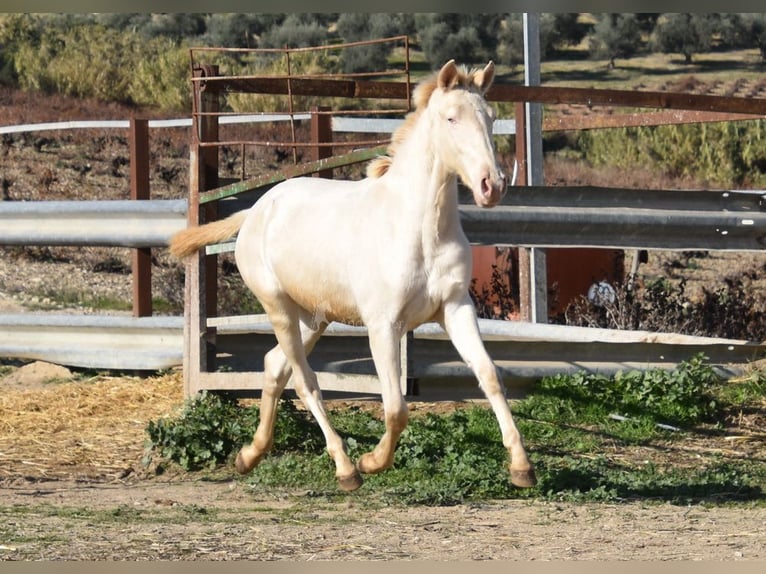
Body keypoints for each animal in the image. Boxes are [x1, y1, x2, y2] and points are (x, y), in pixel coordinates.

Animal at [171, 57, 536, 490]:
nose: (492, 185)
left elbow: (489, 375)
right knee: (305, 381)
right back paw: (346, 468)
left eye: (492, 117)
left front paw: (522, 467)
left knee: (275, 365)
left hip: (313, 318)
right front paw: (372, 461)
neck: (419, 228)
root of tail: (255, 211)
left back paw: (249, 455)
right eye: (451, 118)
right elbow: (396, 407)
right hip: (278, 309)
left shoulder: (455, 308)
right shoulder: (384, 325)